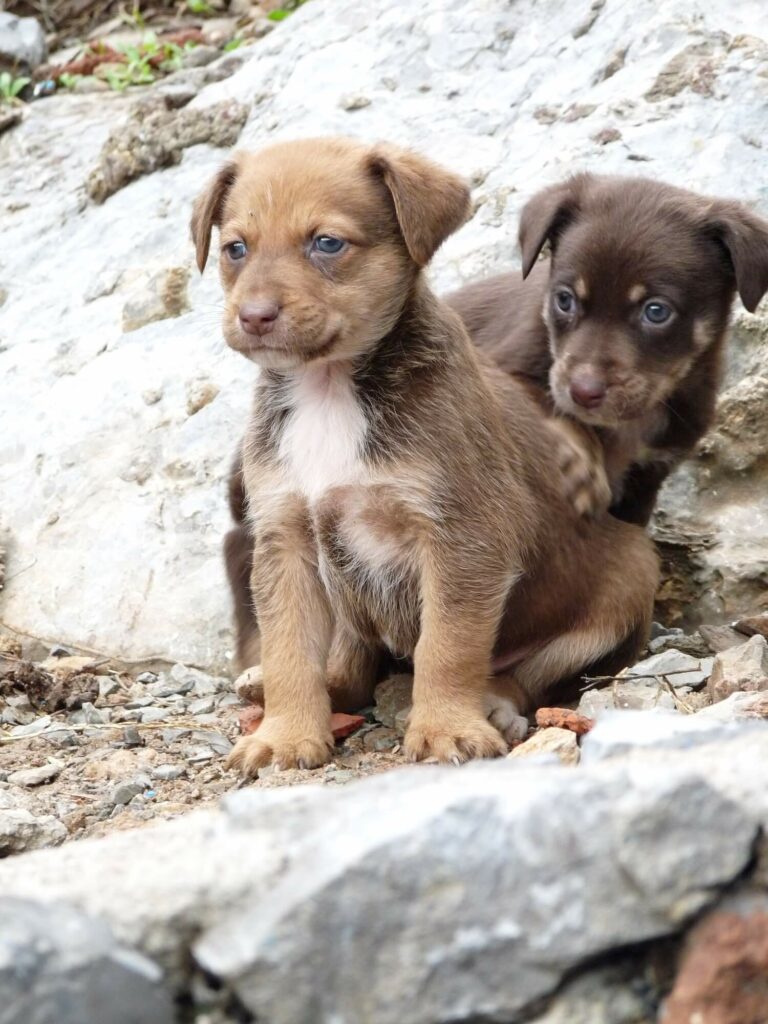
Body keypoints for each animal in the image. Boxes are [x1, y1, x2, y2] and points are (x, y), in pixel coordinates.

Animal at [192, 138, 663, 774]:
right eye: (235, 249)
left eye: (327, 243)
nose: (254, 317)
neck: (329, 389)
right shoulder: (284, 538)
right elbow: (291, 650)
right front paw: (286, 736)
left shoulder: (463, 538)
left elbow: (449, 645)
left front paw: (445, 729)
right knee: (347, 674)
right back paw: (268, 688)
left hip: (630, 576)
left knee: (528, 676)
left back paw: (493, 704)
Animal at [448, 172, 768, 524]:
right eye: (564, 299)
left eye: (656, 311)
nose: (584, 392)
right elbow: (545, 403)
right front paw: (583, 465)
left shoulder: (647, 477)